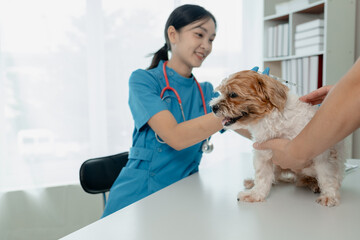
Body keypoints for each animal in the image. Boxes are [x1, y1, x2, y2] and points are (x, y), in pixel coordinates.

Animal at [211, 69, 346, 206]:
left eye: (233, 94)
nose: (213, 107)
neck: (271, 120)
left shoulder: (323, 154)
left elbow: (327, 176)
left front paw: (329, 196)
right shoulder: (263, 154)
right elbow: (262, 177)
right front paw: (255, 194)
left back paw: (314, 183)